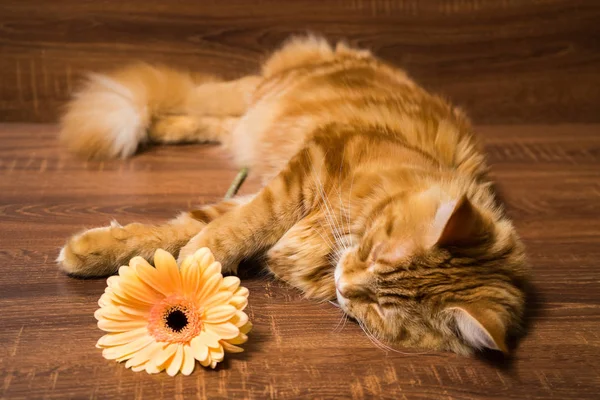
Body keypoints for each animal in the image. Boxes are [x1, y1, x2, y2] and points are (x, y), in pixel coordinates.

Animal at [58, 36, 528, 354]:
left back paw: (159, 129)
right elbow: (233, 227)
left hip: (246, 126)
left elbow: (190, 227)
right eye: (373, 254)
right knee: (200, 102)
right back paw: (144, 125)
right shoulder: (313, 164)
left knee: (213, 124)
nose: (344, 285)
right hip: (252, 97)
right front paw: (193, 257)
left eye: (378, 307)